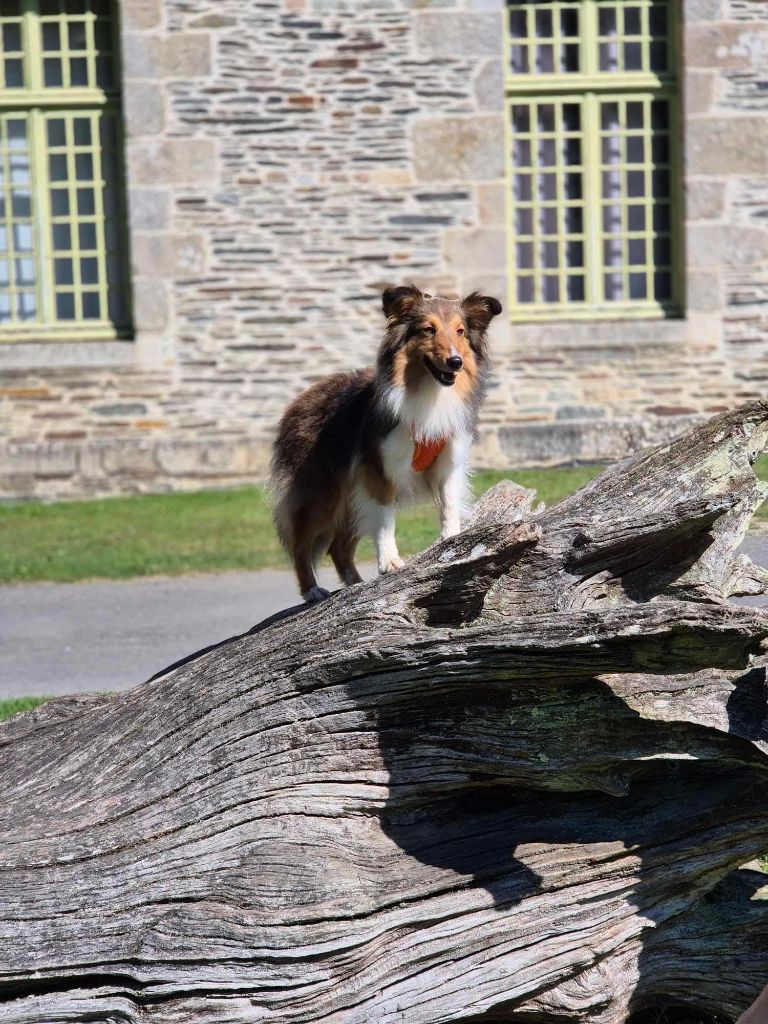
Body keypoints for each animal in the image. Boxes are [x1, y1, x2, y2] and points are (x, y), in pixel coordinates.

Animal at [270, 282, 505, 598]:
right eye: (428, 330)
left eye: (460, 331)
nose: (455, 362)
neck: (430, 393)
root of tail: (299, 401)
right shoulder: (379, 470)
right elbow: (384, 521)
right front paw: (390, 562)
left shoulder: (447, 465)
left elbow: (449, 506)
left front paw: (452, 541)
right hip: (323, 494)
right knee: (300, 542)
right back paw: (311, 590)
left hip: (350, 497)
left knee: (338, 547)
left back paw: (355, 583)